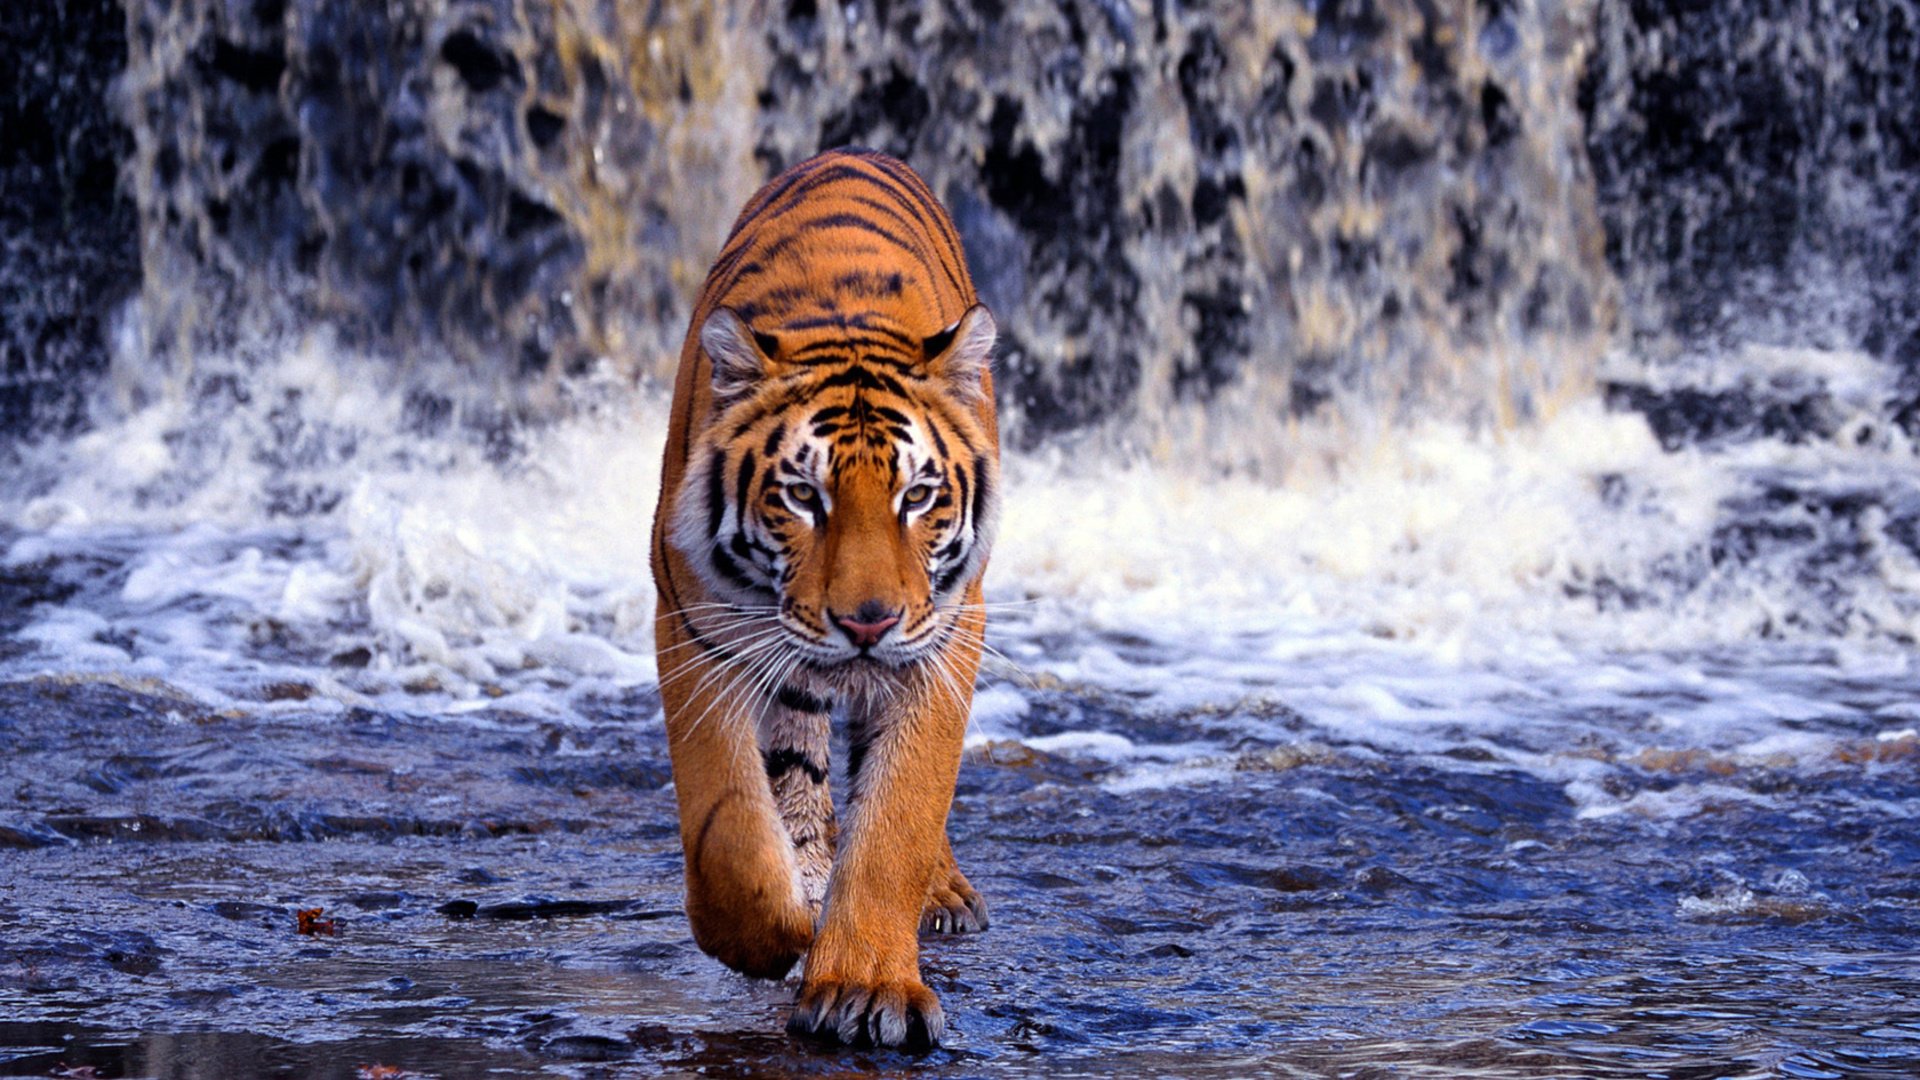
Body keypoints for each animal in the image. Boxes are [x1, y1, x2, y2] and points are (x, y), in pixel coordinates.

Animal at [649, 147, 1001, 1049]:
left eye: (918, 496)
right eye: (804, 496)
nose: (866, 623)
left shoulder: (944, 638)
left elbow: (900, 817)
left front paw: (866, 986)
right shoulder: (697, 626)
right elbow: (729, 824)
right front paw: (771, 934)